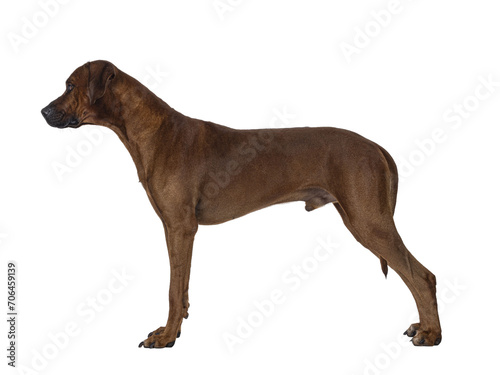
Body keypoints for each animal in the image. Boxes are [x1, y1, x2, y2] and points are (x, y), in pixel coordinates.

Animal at [42, 59, 442, 350]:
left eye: (70, 86)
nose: (43, 111)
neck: (152, 131)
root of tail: (375, 146)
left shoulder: (180, 227)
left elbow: (172, 288)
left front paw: (166, 337)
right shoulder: (179, 230)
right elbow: (182, 287)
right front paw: (178, 326)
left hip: (368, 221)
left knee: (421, 276)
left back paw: (431, 334)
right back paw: (424, 327)